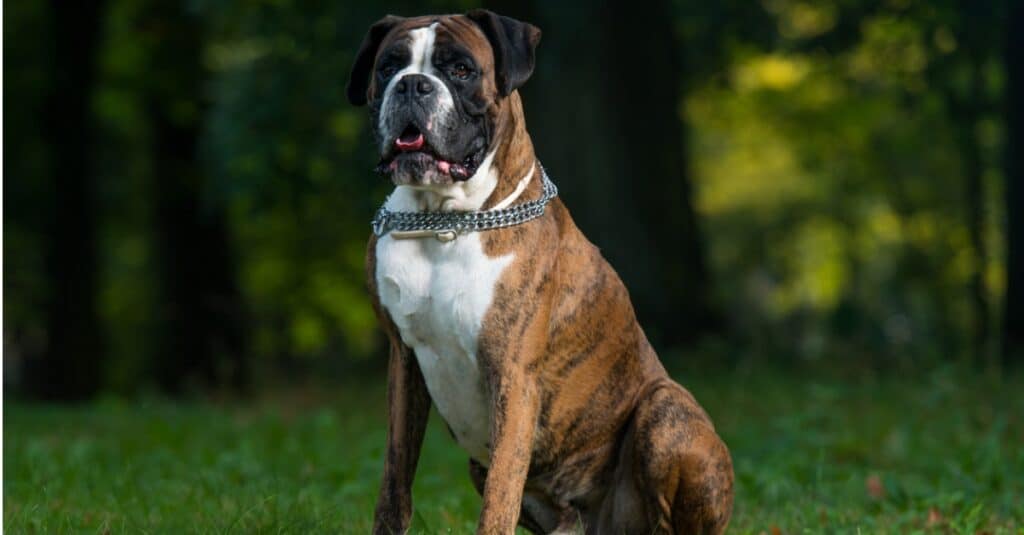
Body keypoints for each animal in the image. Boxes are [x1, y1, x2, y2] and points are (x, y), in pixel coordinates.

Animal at [348, 9, 733, 532]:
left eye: (461, 69)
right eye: (388, 67)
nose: (412, 84)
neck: (444, 221)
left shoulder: (513, 378)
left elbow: (500, 498)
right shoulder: (403, 364)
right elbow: (394, 485)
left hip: (666, 410)